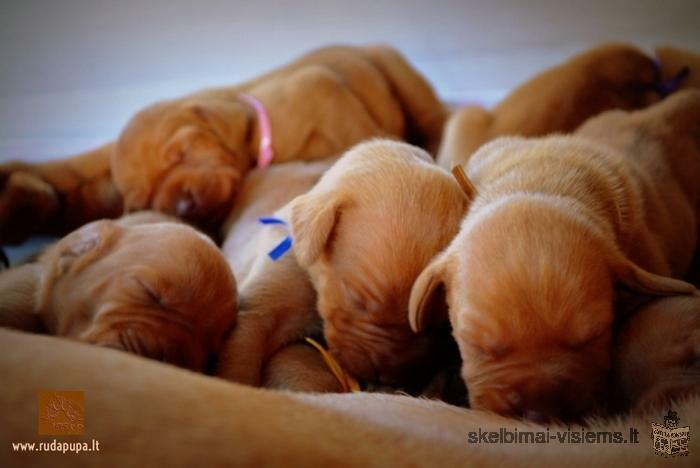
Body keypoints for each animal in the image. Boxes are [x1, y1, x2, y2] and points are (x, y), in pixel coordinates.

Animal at [0, 44, 446, 243]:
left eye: (182, 153)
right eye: (143, 199)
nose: (184, 207)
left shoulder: (321, 88)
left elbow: (359, 126)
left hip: (404, 78)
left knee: (431, 114)